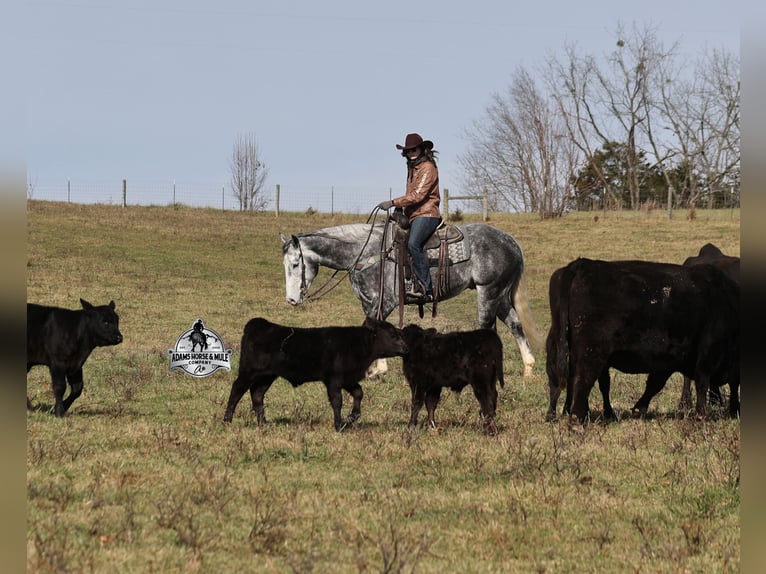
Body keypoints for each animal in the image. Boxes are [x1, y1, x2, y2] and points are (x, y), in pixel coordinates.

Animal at [280, 220, 539, 377]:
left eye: (295, 264)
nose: (291, 300)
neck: (365, 253)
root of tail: (512, 242)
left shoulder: (385, 301)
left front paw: (376, 370)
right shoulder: (369, 301)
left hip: (488, 292)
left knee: (489, 327)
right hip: (501, 295)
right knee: (515, 325)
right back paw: (528, 368)